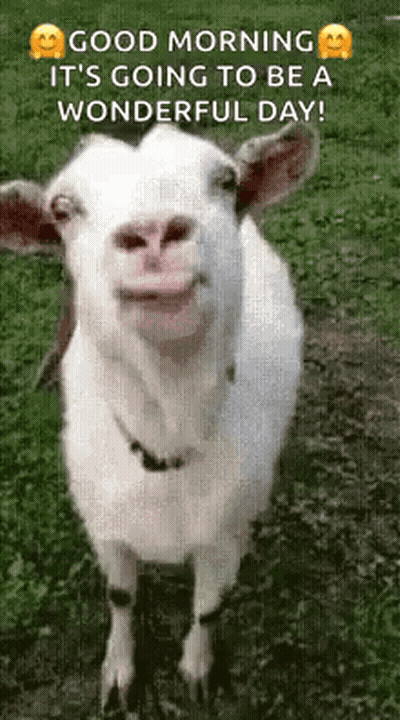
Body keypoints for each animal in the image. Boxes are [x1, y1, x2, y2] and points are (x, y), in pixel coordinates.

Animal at [0, 122, 317, 717]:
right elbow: (121, 597)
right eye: (62, 208)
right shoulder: (106, 526)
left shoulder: (225, 533)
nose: (152, 233)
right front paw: (120, 673)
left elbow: (209, 607)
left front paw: (196, 670)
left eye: (225, 180)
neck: (167, 436)